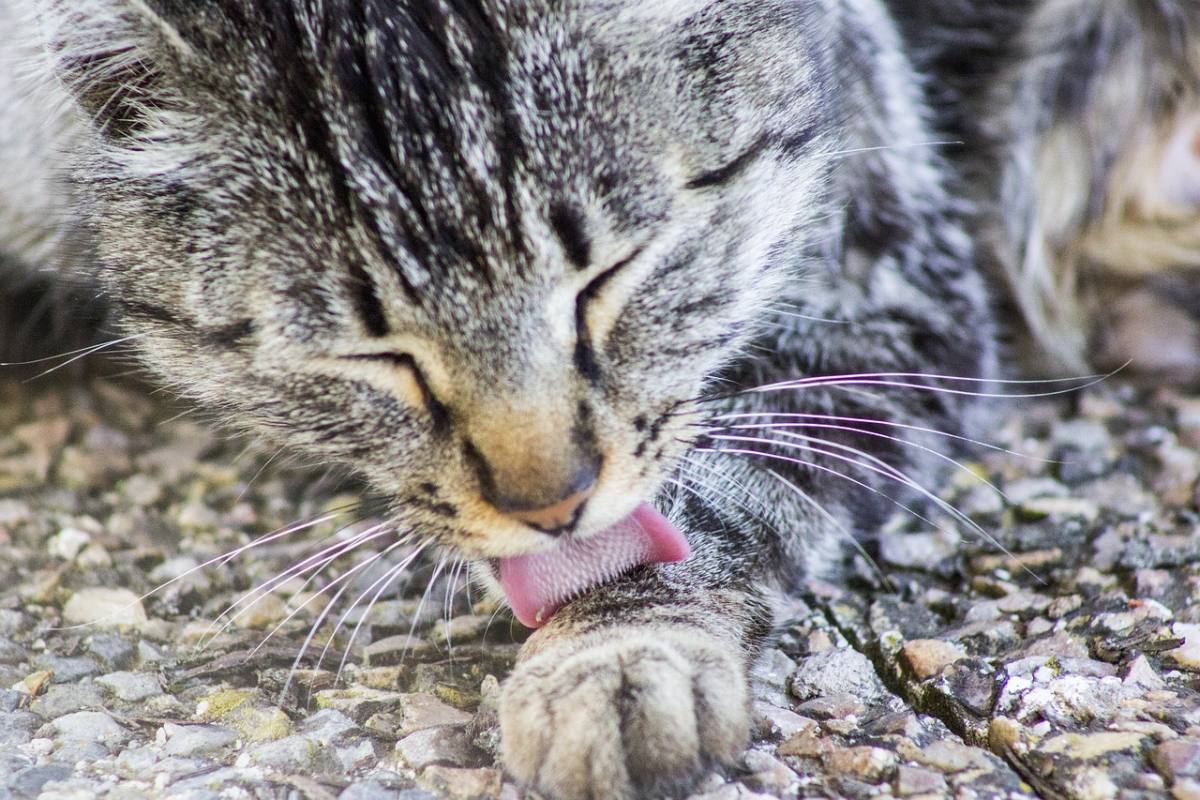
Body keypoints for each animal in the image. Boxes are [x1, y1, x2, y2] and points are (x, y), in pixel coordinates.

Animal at [2, 1, 1190, 800]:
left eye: (610, 276)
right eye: (371, 352)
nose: (551, 502)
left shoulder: (887, 293)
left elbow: (712, 495)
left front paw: (620, 654)